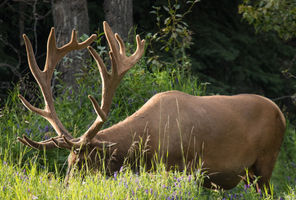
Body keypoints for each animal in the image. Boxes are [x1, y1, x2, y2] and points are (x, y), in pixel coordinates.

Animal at [17, 21, 286, 192]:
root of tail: (281, 114)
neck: (148, 144)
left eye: (82, 162)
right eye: (68, 162)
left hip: (266, 161)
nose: (66, 188)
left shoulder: (184, 167)